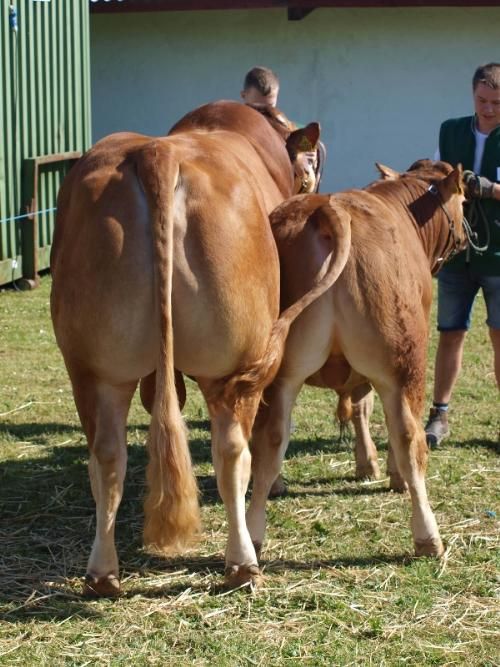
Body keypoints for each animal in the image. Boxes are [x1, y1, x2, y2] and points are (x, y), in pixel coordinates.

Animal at [50, 100, 324, 596]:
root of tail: (157, 152)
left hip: (94, 368)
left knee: (107, 454)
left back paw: (102, 573)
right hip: (239, 362)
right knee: (232, 450)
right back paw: (242, 563)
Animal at [248, 160, 466, 560]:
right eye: (464, 200)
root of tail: (330, 208)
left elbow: (359, 408)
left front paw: (366, 463)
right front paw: (388, 473)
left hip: (279, 373)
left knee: (269, 438)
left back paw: (253, 537)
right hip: (404, 363)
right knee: (409, 437)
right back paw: (429, 538)